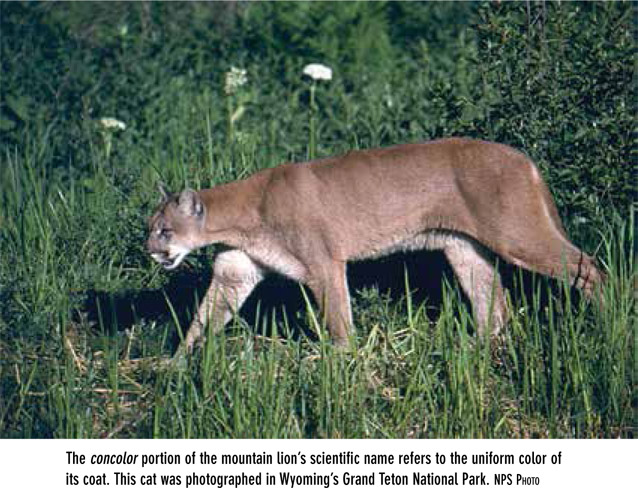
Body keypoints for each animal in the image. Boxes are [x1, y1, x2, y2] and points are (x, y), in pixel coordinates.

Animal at [148, 137, 608, 350]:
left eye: (165, 231)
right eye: (150, 228)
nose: (150, 251)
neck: (242, 213)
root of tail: (522, 157)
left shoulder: (324, 263)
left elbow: (338, 318)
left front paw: (340, 363)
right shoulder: (235, 273)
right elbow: (202, 319)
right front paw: (175, 366)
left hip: (517, 234)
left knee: (591, 269)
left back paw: (608, 319)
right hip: (464, 247)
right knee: (493, 301)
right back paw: (476, 349)